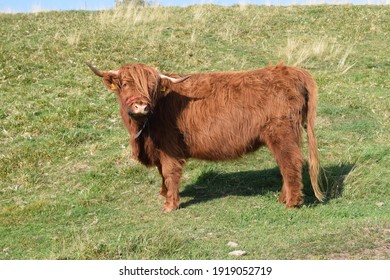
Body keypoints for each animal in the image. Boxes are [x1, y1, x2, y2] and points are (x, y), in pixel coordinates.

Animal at [87, 62, 322, 211]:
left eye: (152, 88)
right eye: (125, 83)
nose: (141, 106)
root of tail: (291, 70)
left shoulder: (169, 147)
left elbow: (169, 172)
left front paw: (170, 204)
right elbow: (161, 172)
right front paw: (164, 194)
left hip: (282, 134)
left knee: (290, 163)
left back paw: (291, 203)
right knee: (286, 166)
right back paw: (283, 198)